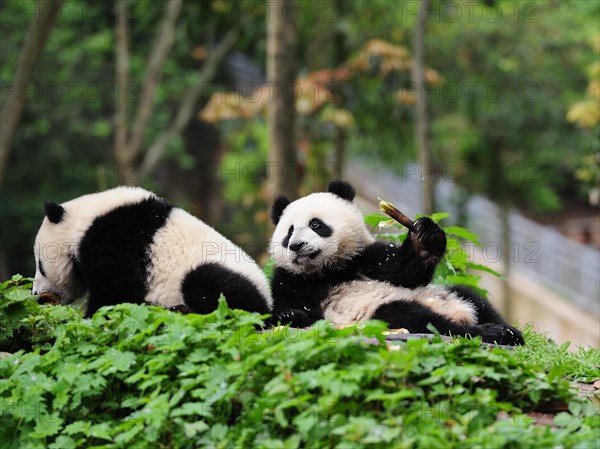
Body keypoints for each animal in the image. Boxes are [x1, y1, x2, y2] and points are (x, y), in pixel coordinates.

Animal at [32, 187, 272, 316]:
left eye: (41, 267)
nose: (36, 294)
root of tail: (268, 300)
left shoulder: (115, 238)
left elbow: (117, 292)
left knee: (208, 286)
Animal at [270, 180, 524, 344]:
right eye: (289, 232)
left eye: (315, 224)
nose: (296, 246)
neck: (328, 270)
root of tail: (459, 313)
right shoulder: (291, 279)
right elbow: (302, 310)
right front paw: (290, 315)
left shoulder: (364, 258)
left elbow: (405, 272)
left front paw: (425, 238)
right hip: (377, 313)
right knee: (415, 318)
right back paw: (488, 332)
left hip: (446, 293)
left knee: (473, 297)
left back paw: (509, 332)